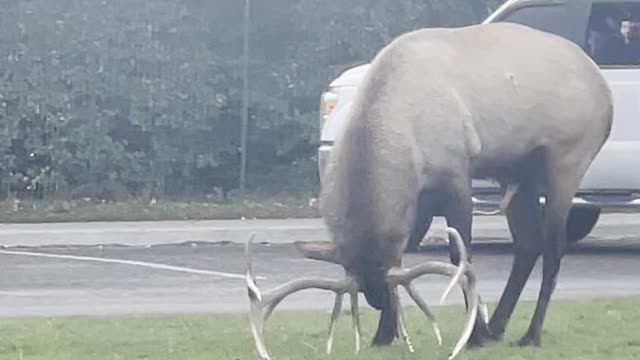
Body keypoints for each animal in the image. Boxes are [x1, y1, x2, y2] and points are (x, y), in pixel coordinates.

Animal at [244, 22, 608, 358]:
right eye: (360, 278)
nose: (377, 301)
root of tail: (605, 91)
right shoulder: (416, 196)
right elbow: (406, 257)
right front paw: (385, 335)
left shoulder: (457, 173)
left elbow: (460, 258)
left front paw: (472, 335)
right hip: (518, 170)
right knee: (529, 242)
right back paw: (497, 327)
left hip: (566, 160)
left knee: (553, 247)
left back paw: (530, 334)